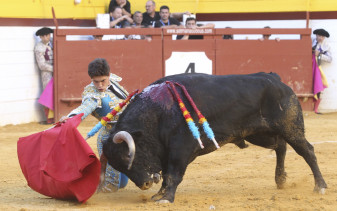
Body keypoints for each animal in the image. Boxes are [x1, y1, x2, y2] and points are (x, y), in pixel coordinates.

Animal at [98, 72, 326, 203]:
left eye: (128, 156)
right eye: (117, 165)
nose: (145, 184)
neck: (157, 111)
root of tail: (276, 80)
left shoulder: (180, 149)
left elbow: (173, 174)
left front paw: (166, 199)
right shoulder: (165, 152)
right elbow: (166, 174)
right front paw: (159, 194)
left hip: (290, 127)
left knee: (307, 151)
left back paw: (320, 186)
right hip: (259, 134)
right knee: (280, 147)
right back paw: (280, 179)